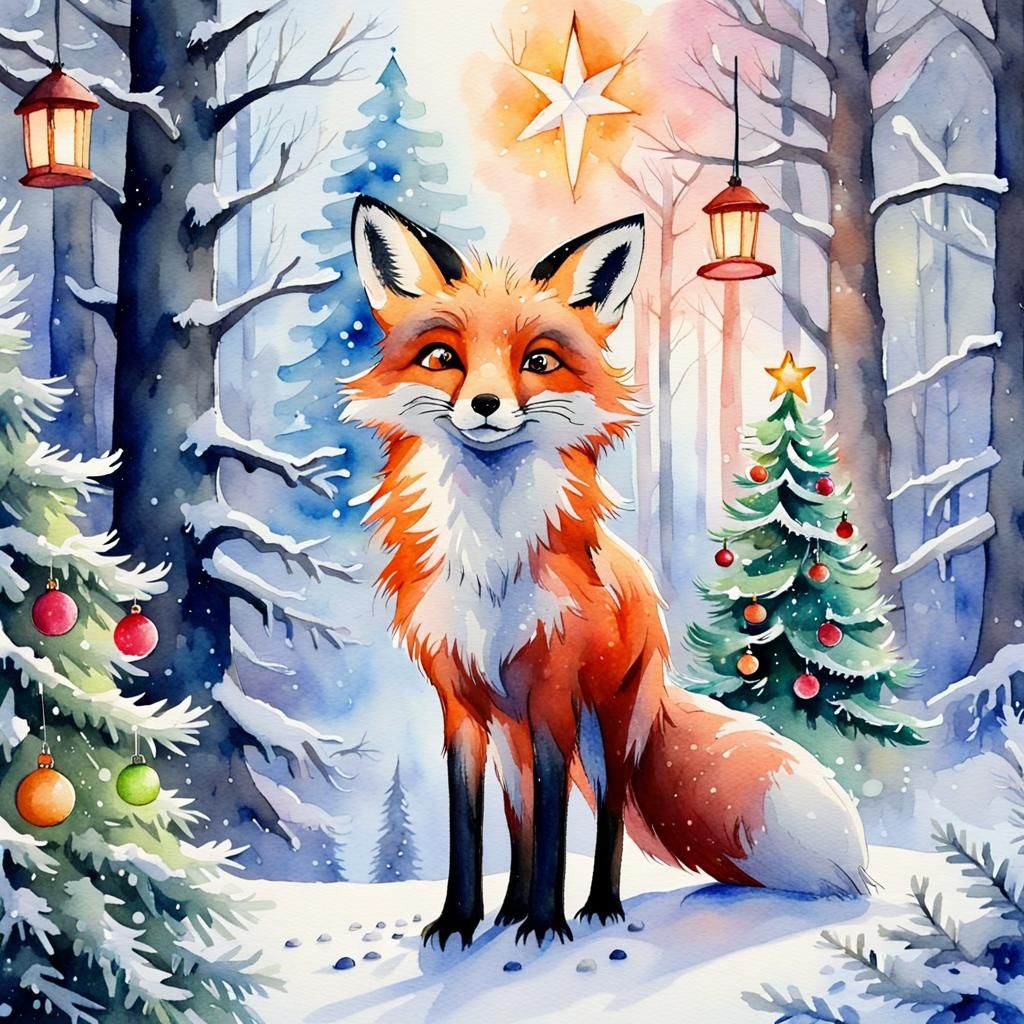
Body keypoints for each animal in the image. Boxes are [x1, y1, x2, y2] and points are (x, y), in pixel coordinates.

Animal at [343, 195, 870, 949]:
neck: (491, 563)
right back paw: (508, 912)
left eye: (539, 360)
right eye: (443, 358)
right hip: (513, 739)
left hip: (607, 730)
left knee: (609, 811)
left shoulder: (553, 696)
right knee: (521, 819)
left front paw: (545, 925)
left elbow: (559, 824)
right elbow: (472, 824)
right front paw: (461, 922)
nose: (485, 405)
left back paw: (596, 908)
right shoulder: (463, 707)